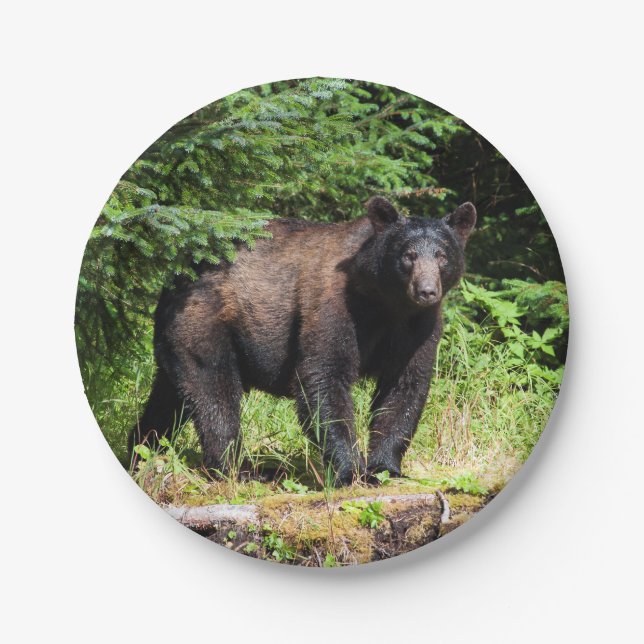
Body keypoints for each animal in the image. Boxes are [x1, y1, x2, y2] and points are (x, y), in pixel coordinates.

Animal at [129, 197, 476, 485]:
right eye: (408, 255)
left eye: (442, 256)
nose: (426, 290)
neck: (386, 303)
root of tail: (175, 277)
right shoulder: (334, 305)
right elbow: (324, 376)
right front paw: (350, 471)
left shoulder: (418, 327)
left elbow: (404, 386)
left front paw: (385, 467)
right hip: (205, 322)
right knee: (214, 391)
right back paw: (240, 469)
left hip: (176, 340)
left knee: (169, 397)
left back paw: (141, 448)